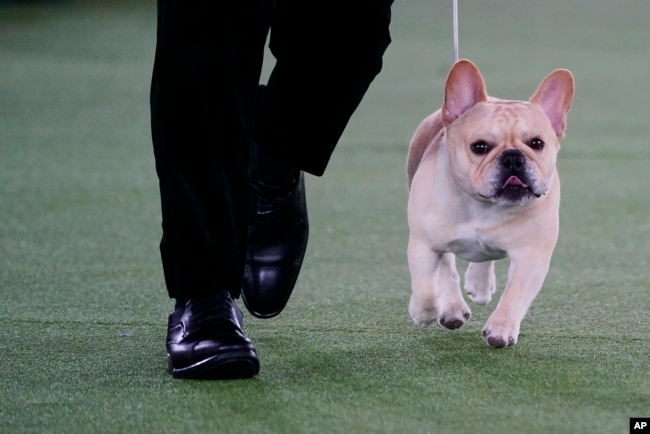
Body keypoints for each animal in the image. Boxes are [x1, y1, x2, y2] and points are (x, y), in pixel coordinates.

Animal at [404, 58, 572, 350]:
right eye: (479, 147)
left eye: (537, 143)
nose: (513, 157)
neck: (484, 205)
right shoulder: (423, 244)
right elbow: (425, 287)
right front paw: (422, 313)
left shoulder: (532, 256)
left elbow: (514, 295)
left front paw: (501, 329)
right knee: (446, 268)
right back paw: (452, 309)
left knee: (483, 258)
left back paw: (480, 284)